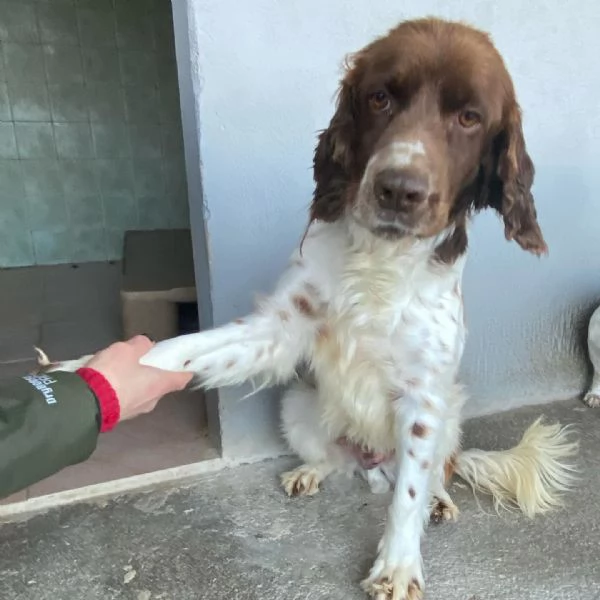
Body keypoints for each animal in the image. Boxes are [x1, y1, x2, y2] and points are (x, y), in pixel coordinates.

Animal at [50, 18, 576, 600]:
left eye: (469, 117)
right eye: (380, 98)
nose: (398, 189)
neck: (380, 259)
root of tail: (372, 461)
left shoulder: (424, 396)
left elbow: (408, 498)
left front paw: (397, 565)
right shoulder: (280, 327)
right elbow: (180, 348)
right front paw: (90, 370)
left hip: (451, 415)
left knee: (436, 473)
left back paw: (439, 501)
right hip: (298, 406)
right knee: (331, 460)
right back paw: (310, 472)